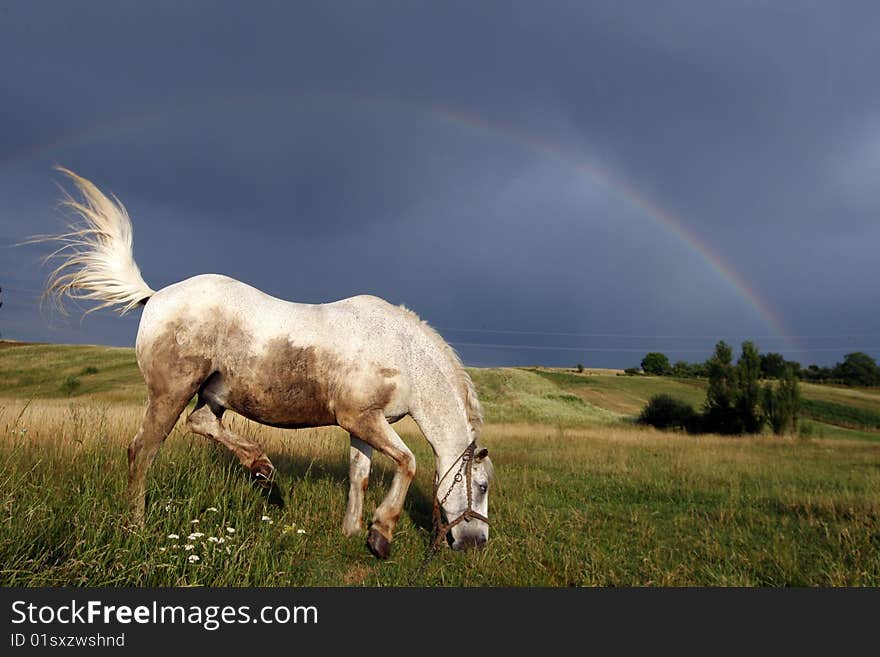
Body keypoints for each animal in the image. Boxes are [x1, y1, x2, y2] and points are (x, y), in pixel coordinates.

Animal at [37, 169, 492, 560]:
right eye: (483, 486)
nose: (477, 544)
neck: (401, 353)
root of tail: (155, 296)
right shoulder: (360, 418)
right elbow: (408, 462)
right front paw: (381, 534)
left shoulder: (362, 425)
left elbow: (359, 474)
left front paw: (352, 531)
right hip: (171, 394)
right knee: (142, 451)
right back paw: (138, 526)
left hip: (214, 394)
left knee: (202, 423)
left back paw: (265, 474)